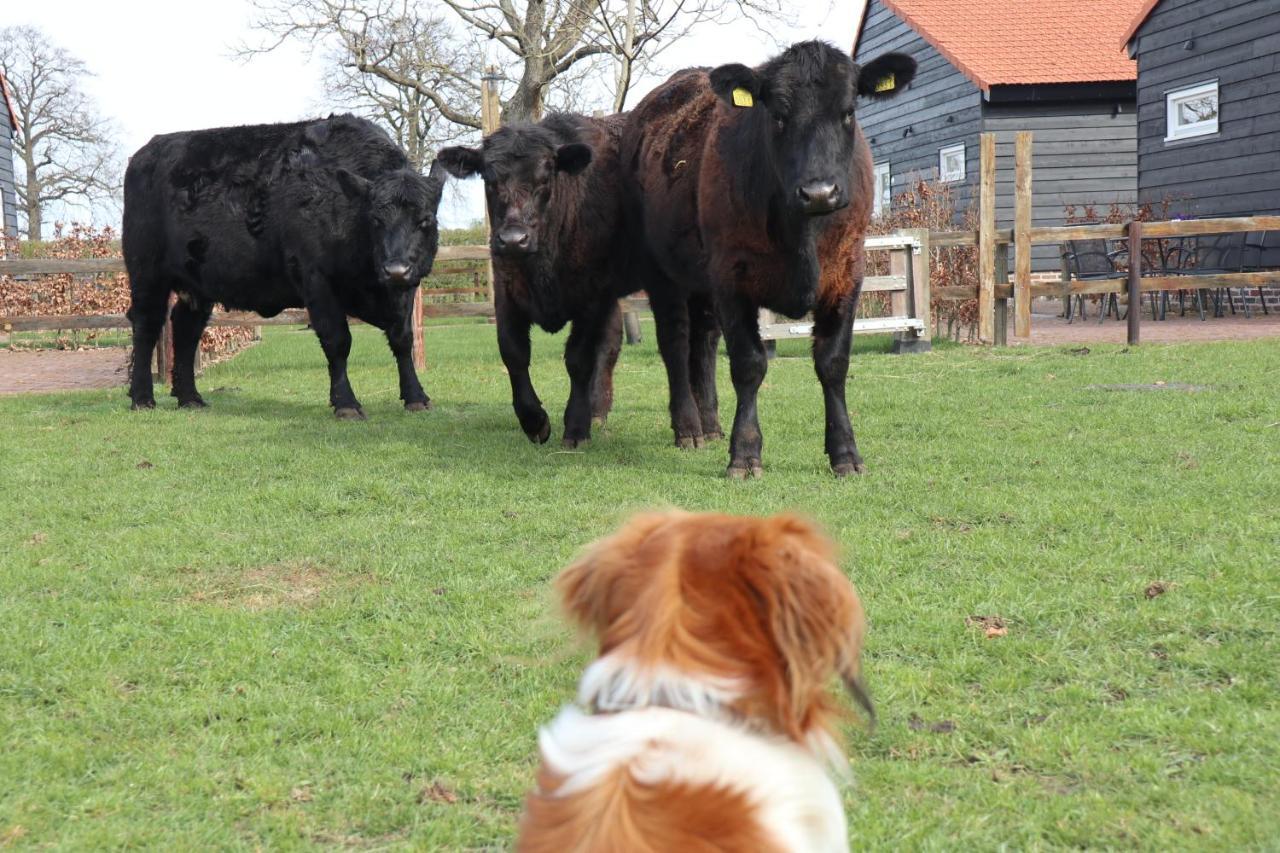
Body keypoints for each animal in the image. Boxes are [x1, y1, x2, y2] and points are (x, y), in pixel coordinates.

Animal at [122, 114, 448, 417]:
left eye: (425, 220)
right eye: (376, 220)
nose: (395, 270)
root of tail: (147, 152)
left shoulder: (405, 290)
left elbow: (402, 338)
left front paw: (416, 396)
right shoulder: (317, 280)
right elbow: (338, 341)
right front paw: (346, 403)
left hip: (197, 282)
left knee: (186, 327)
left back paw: (190, 397)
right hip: (147, 273)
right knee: (147, 324)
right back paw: (142, 398)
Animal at [437, 114, 632, 445]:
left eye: (545, 178)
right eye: (489, 180)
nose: (514, 240)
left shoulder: (591, 299)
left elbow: (579, 358)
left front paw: (576, 426)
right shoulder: (505, 291)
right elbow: (513, 353)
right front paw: (534, 420)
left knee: (609, 344)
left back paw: (596, 407)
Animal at [624, 43, 916, 473]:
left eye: (848, 111)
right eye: (777, 115)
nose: (818, 192)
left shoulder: (848, 273)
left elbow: (833, 363)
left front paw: (845, 452)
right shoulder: (731, 277)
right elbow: (749, 364)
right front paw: (744, 453)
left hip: (701, 283)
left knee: (704, 343)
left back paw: (710, 424)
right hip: (661, 272)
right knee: (675, 342)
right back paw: (689, 428)